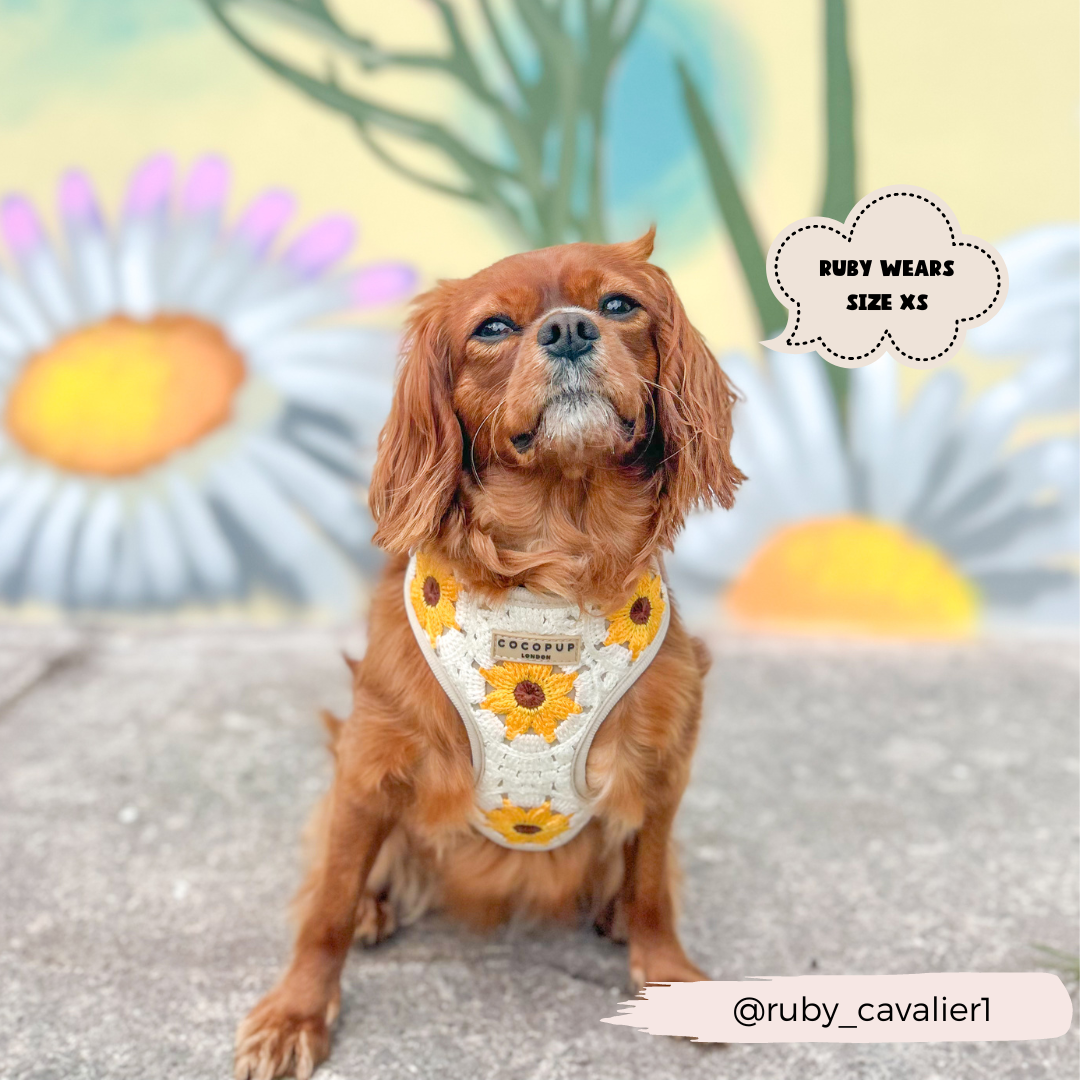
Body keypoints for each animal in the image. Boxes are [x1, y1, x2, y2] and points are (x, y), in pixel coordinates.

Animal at [236, 230, 743, 1080]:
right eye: (494, 328)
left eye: (618, 304)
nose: (569, 329)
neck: (553, 556)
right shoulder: (369, 767)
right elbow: (327, 905)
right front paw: (296, 1013)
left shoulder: (662, 766)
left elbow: (650, 888)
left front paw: (666, 971)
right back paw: (377, 900)